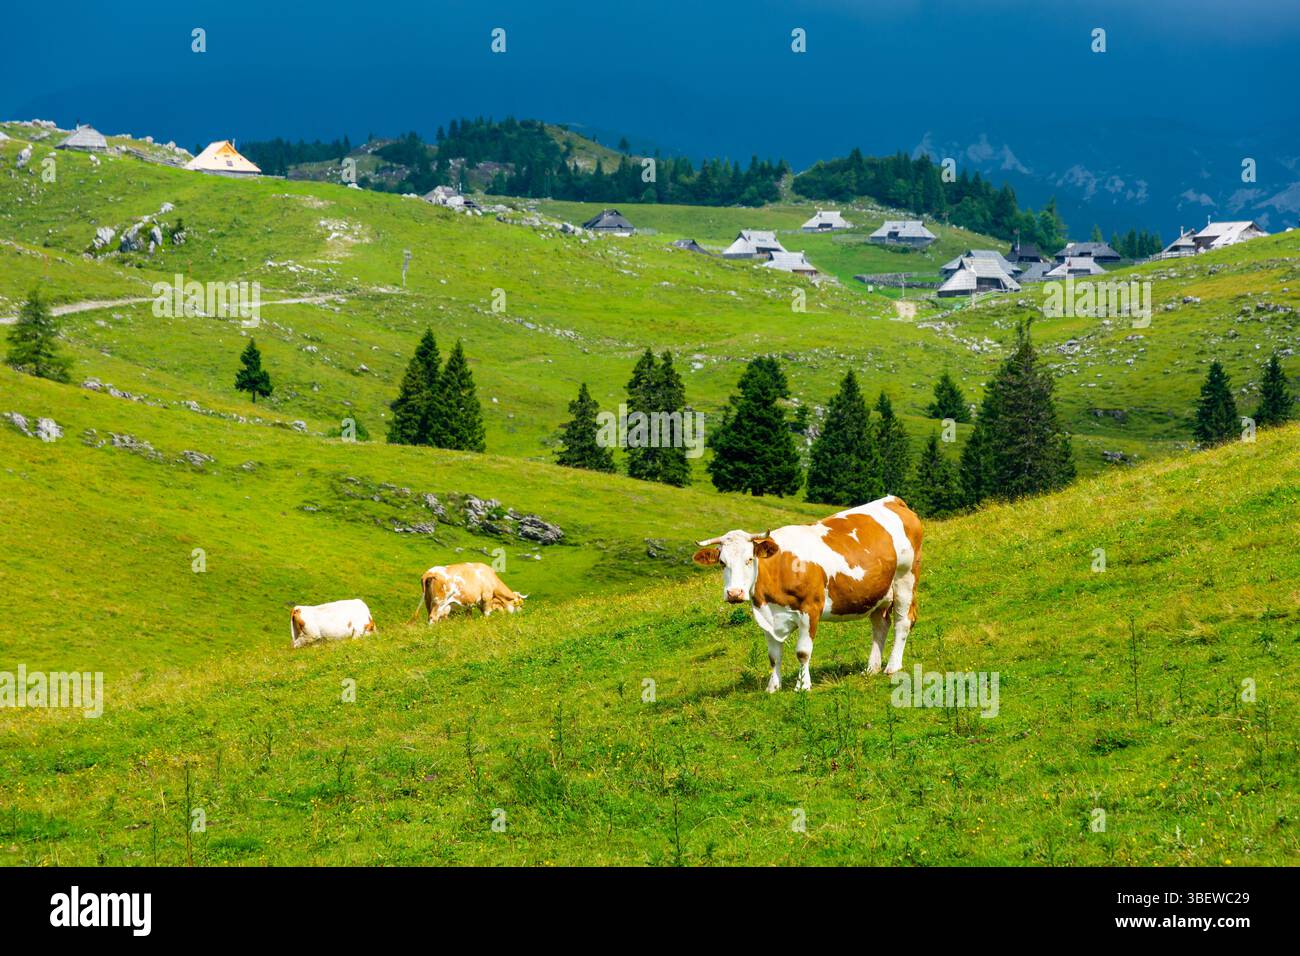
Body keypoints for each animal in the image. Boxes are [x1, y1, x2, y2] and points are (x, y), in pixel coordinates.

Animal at [693, 496, 922, 692]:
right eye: (722, 563)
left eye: (749, 559)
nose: (734, 593)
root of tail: (893, 500)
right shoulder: (766, 617)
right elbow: (773, 656)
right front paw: (772, 687)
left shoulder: (810, 609)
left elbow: (803, 652)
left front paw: (802, 685)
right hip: (878, 593)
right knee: (880, 626)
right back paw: (871, 668)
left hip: (905, 579)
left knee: (903, 621)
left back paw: (892, 666)